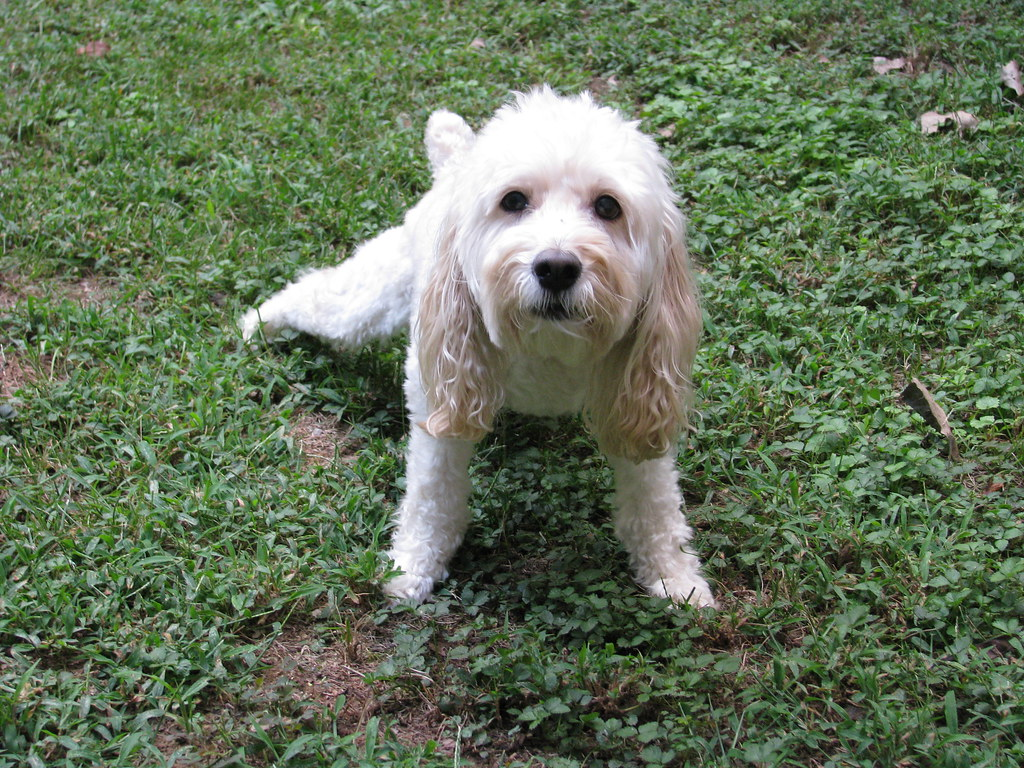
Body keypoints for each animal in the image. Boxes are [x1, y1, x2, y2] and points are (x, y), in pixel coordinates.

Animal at [242, 87, 716, 610]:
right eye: (514, 200)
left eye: (609, 207)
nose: (555, 267)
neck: (547, 350)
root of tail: (454, 166)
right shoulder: (439, 394)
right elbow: (433, 492)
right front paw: (414, 563)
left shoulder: (637, 394)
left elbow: (654, 502)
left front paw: (674, 575)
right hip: (368, 301)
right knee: (319, 295)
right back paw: (260, 320)